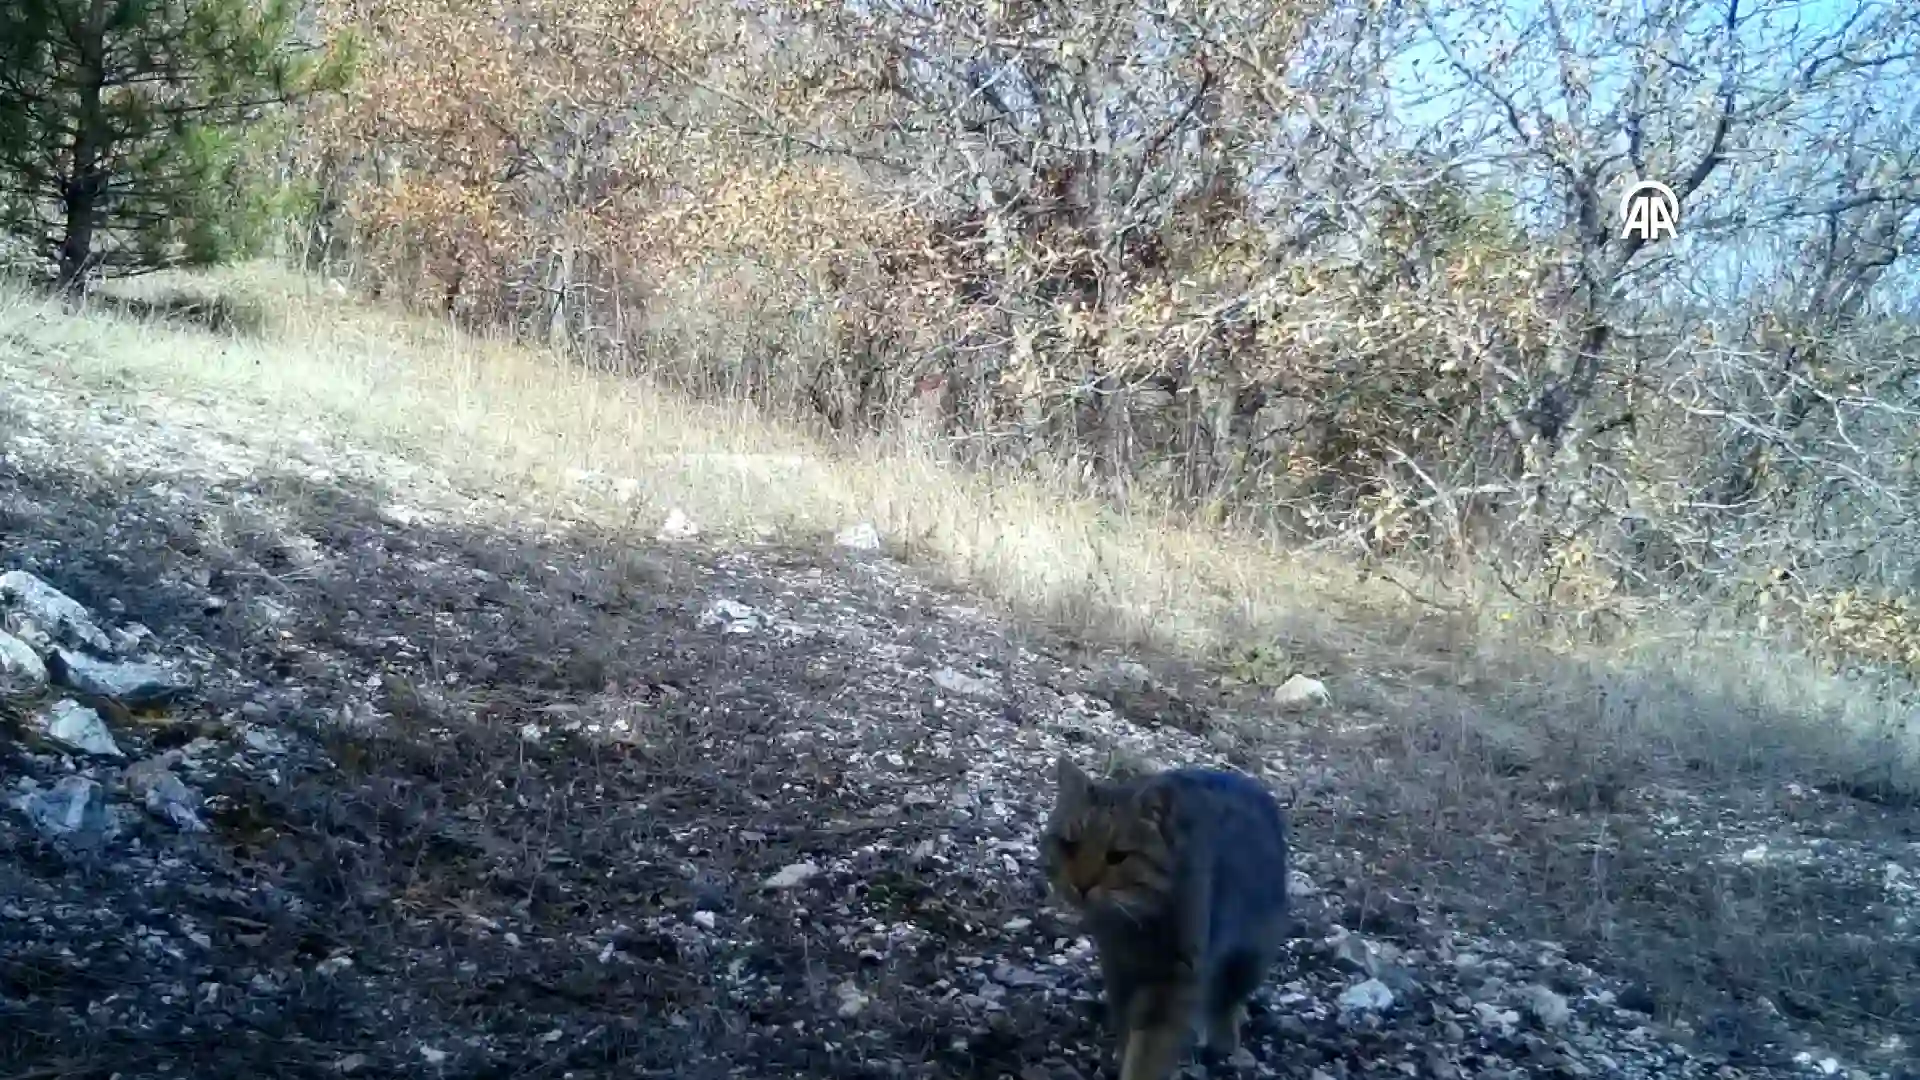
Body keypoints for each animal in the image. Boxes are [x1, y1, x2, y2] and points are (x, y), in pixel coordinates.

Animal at [1044, 753, 1297, 1076]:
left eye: (1117, 856)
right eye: (1069, 844)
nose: (1081, 885)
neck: (1135, 923)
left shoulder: (1176, 981)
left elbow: (1149, 1051)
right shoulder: (1119, 970)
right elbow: (1127, 1024)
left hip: (1251, 951)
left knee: (1229, 996)